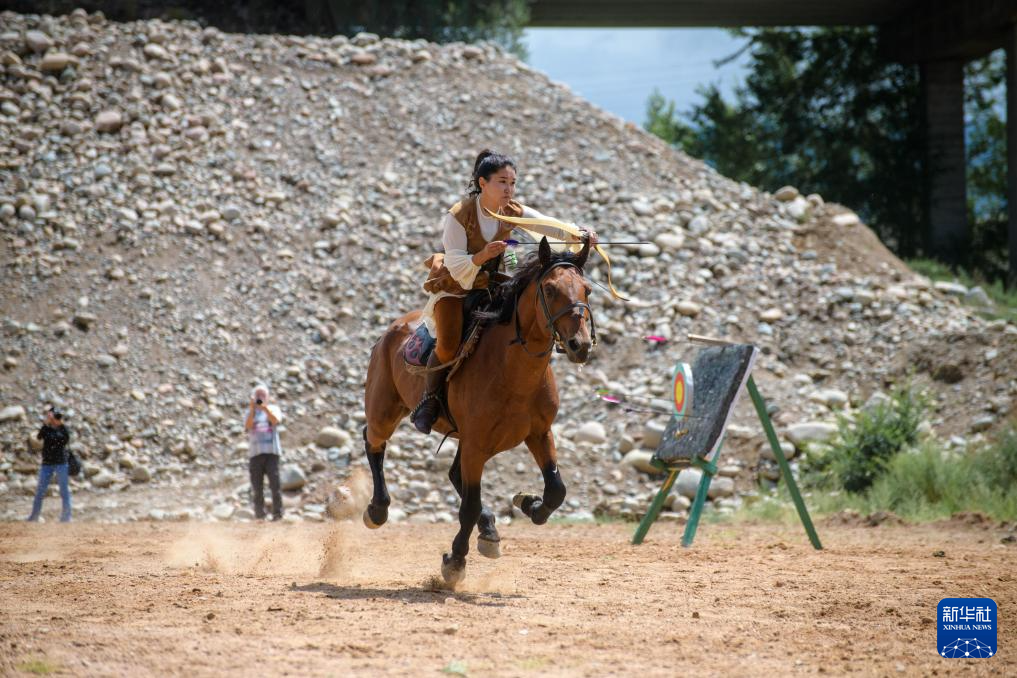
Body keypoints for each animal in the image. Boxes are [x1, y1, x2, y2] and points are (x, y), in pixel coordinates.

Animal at [362, 236, 596, 585]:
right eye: (550, 289)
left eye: (587, 290)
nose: (579, 345)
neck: (512, 371)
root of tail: (393, 329)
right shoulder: (475, 444)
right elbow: (469, 507)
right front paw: (455, 561)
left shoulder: (539, 433)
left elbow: (556, 490)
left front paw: (529, 503)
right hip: (384, 412)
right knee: (373, 441)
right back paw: (378, 509)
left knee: (454, 474)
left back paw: (489, 530)